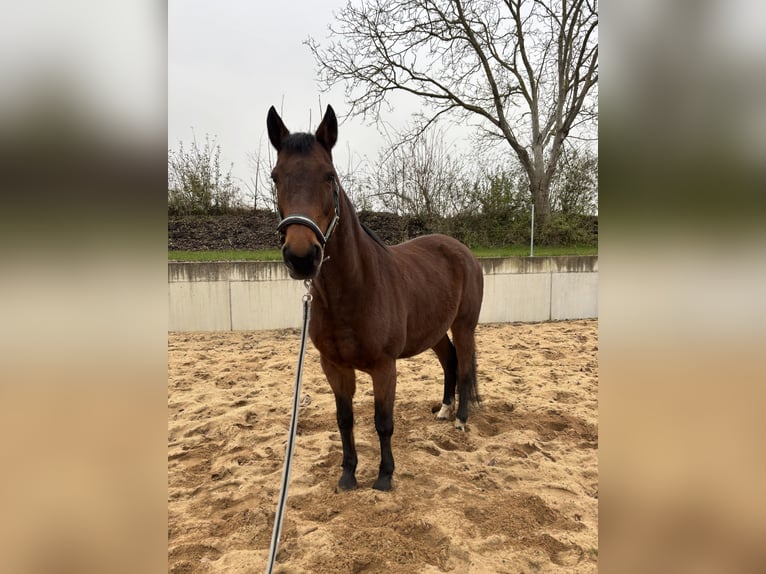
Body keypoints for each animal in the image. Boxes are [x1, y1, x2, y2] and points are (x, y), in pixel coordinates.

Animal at [270, 106, 484, 492]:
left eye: (329, 176)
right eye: (276, 177)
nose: (301, 257)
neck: (354, 290)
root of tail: (462, 251)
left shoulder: (385, 367)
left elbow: (383, 421)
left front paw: (384, 476)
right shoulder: (334, 367)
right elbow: (344, 419)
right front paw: (348, 474)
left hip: (464, 326)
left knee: (463, 365)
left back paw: (460, 419)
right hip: (434, 331)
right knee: (449, 361)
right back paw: (444, 410)